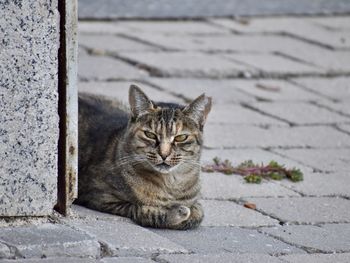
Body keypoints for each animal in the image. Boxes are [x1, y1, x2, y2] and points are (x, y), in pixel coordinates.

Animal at [77, 85, 212, 230]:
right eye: (150, 135)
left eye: (181, 137)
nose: (164, 154)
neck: (170, 184)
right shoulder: (101, 197)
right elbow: (141, 209)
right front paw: (177, 213)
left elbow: (198, 214)